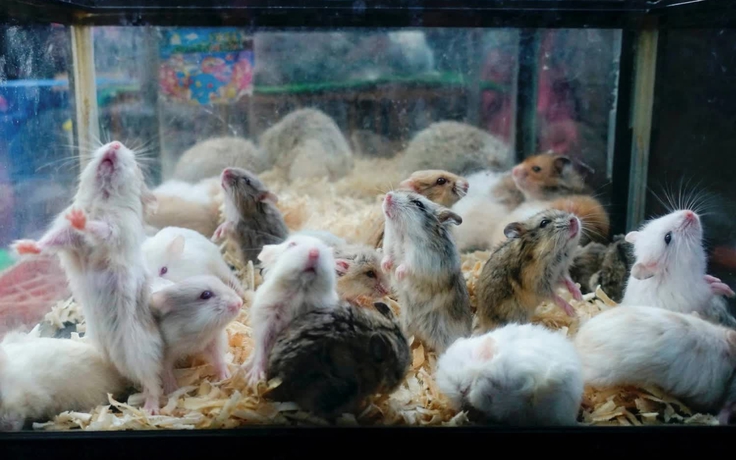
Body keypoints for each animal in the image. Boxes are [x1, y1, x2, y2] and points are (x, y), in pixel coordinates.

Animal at [11, 141, 165, 413]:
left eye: (136, 166)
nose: (115, 144)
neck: (103, 197)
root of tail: (114, 360)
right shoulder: (66, 236)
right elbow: (50, 241)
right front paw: (21, 247)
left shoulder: (117, 229)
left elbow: (100, 228)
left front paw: (82, 219)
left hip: (140, 351)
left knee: (153, 381)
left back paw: (151, 409)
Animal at [242, 235, 339, 386]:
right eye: (292, 244)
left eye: (324, 248)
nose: (315, 252)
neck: (300, 290)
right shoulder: (266, 321)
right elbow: (262, 350)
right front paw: (254, 380)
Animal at [380, 190, 472, 354]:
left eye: (418, 204)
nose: (388, 196)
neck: (401, 234)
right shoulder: (389, 247)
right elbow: (387, 257)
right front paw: (384, 267)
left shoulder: (421, 259)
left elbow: (407, 266)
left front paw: (398, 273)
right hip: (406, 323)